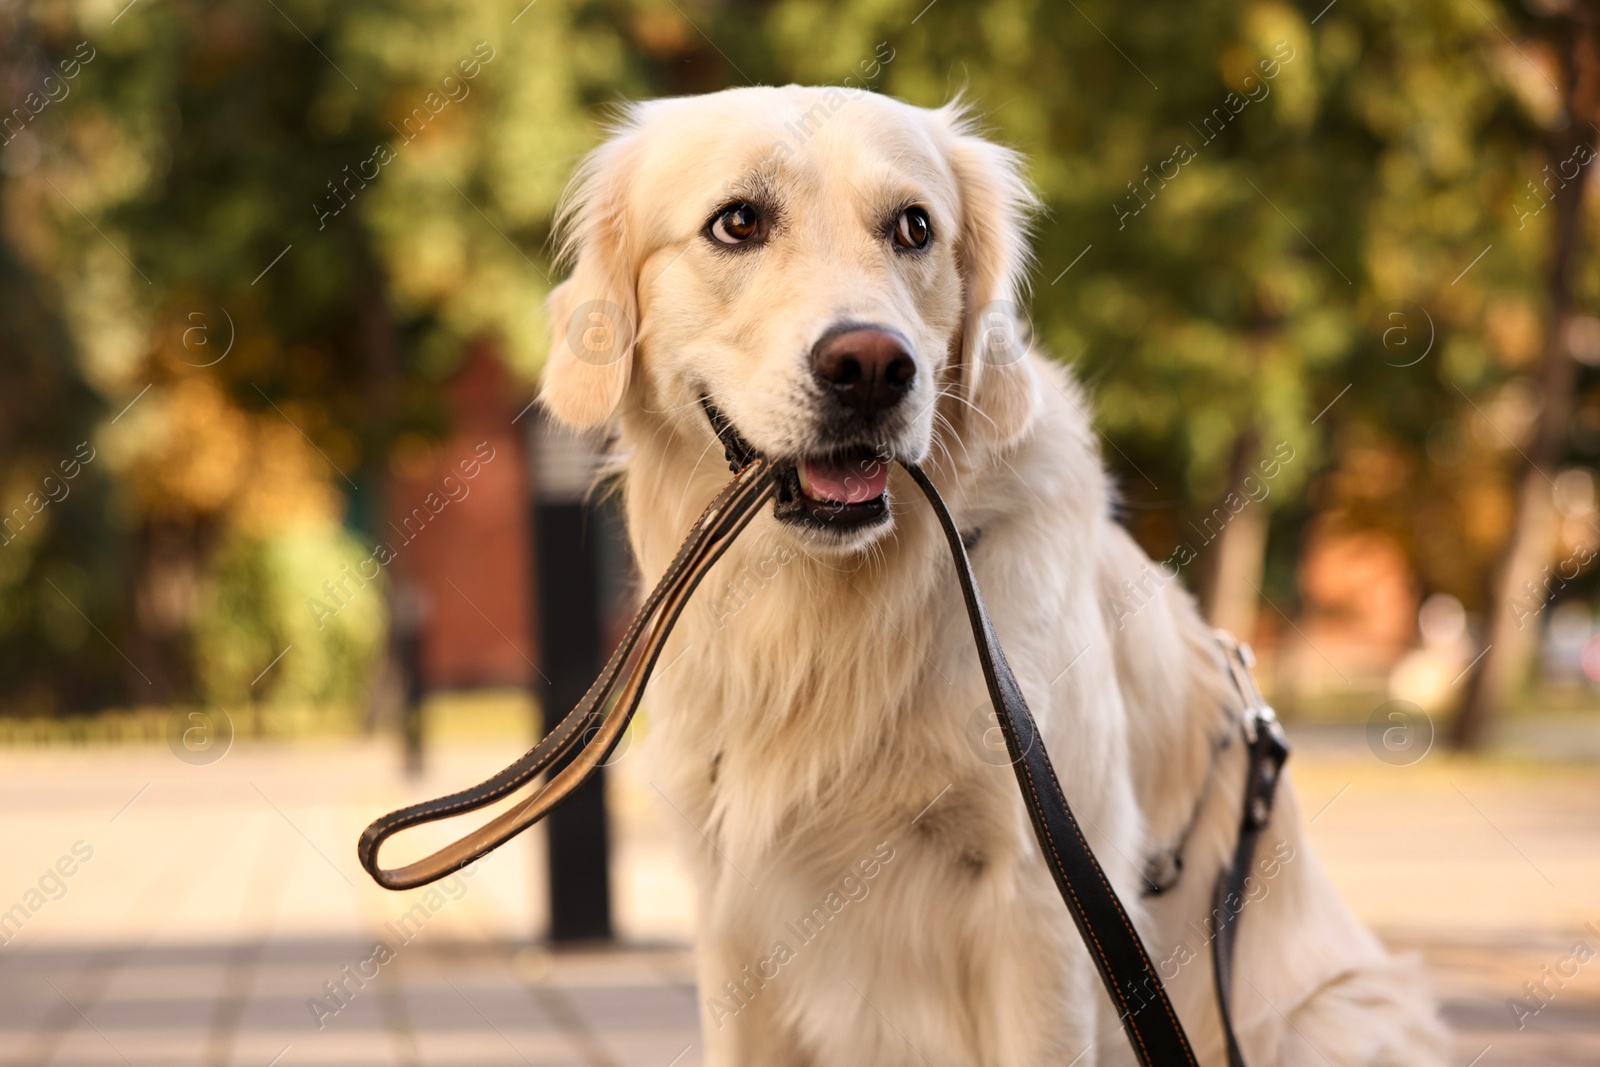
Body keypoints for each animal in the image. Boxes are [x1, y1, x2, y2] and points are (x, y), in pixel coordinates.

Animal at [540, 85, 1452, 1067]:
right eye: (737, 221)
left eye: (914, 227)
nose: (873, 366)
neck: (830, 613)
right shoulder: (735, 915)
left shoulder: (1046, 904)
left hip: (1339, 1016)